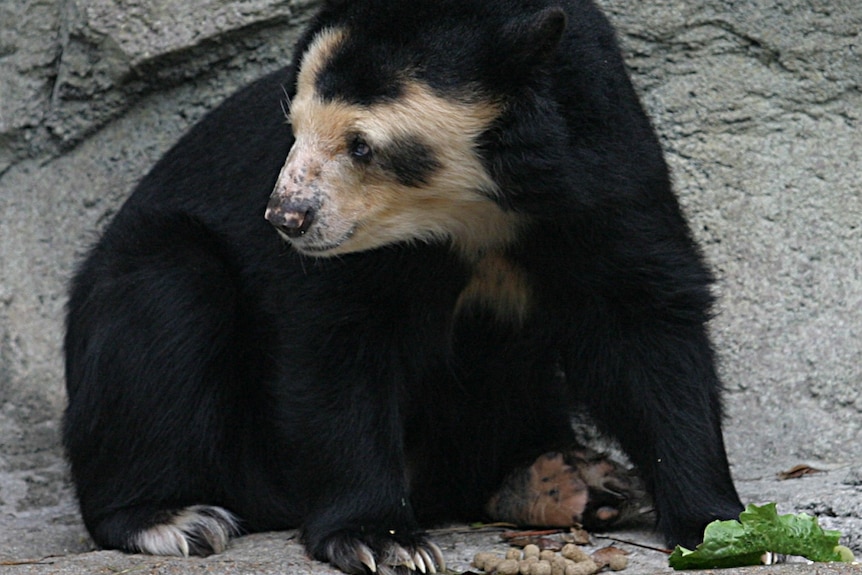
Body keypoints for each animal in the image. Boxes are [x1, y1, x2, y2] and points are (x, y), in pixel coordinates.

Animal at [64, 0, 744, 572]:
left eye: (362, 145)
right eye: (294, 127)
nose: (287, 218)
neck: (472, 209)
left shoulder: (603, 174)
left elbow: (645, 323)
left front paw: (716, 526)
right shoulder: (355, 254)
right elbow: (337, 345)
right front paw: (379, 539)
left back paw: (571, 481)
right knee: (166, 299)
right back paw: (170, 517)